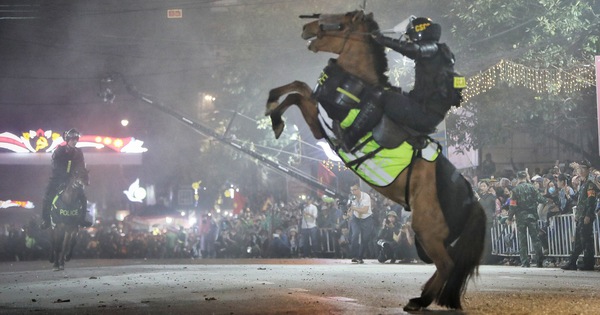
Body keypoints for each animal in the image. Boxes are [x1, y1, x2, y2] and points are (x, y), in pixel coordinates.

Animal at [264, 10, 486, 314]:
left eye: (339, 22)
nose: (307, 27)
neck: (359, 90)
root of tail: (472, 199)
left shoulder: (327, 129)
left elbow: (298, 93)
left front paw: (275, 118)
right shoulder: (320, 121)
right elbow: (298, 88)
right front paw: (273, 109)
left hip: (426, 231)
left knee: (446, 265)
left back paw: (420, 301)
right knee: (445, 267)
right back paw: (419, 298)